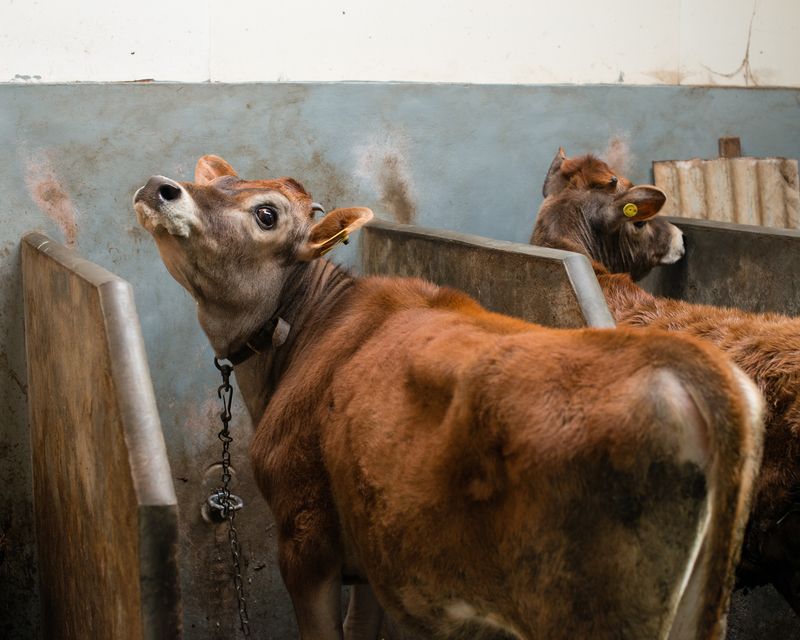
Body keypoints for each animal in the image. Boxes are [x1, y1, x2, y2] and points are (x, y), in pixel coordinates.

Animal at [135, 155, 763, 639]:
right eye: (222, 182)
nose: (158, 185)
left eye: (266, 214)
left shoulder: (305, 537)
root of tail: (684, 367)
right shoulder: (371, 551)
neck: (307, 330)